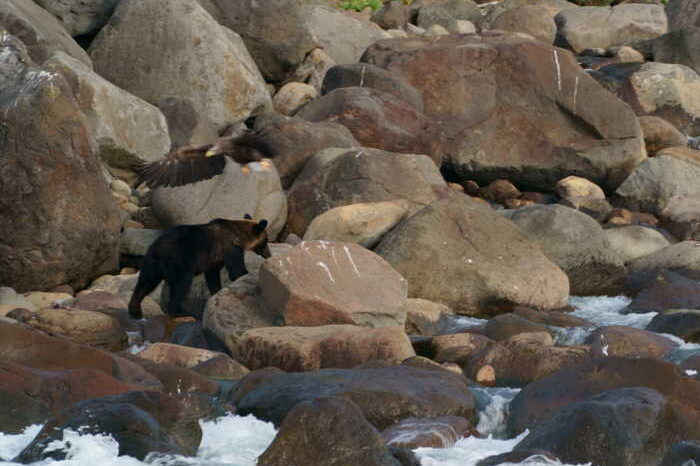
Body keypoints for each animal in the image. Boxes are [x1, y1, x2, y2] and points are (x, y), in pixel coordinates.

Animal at [127, 216, 270, 320]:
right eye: (266, 241)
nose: (268, 254)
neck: (238, 235)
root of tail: (157, 249)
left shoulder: (214, 259)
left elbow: (212, 277)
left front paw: (216, 292)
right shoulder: (229, 247)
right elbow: (236, 269)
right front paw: (246, 274)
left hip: (151, 263)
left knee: (145, 283)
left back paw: (135, 310)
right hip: (181, 260)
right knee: (181, 284)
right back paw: (180, 311)